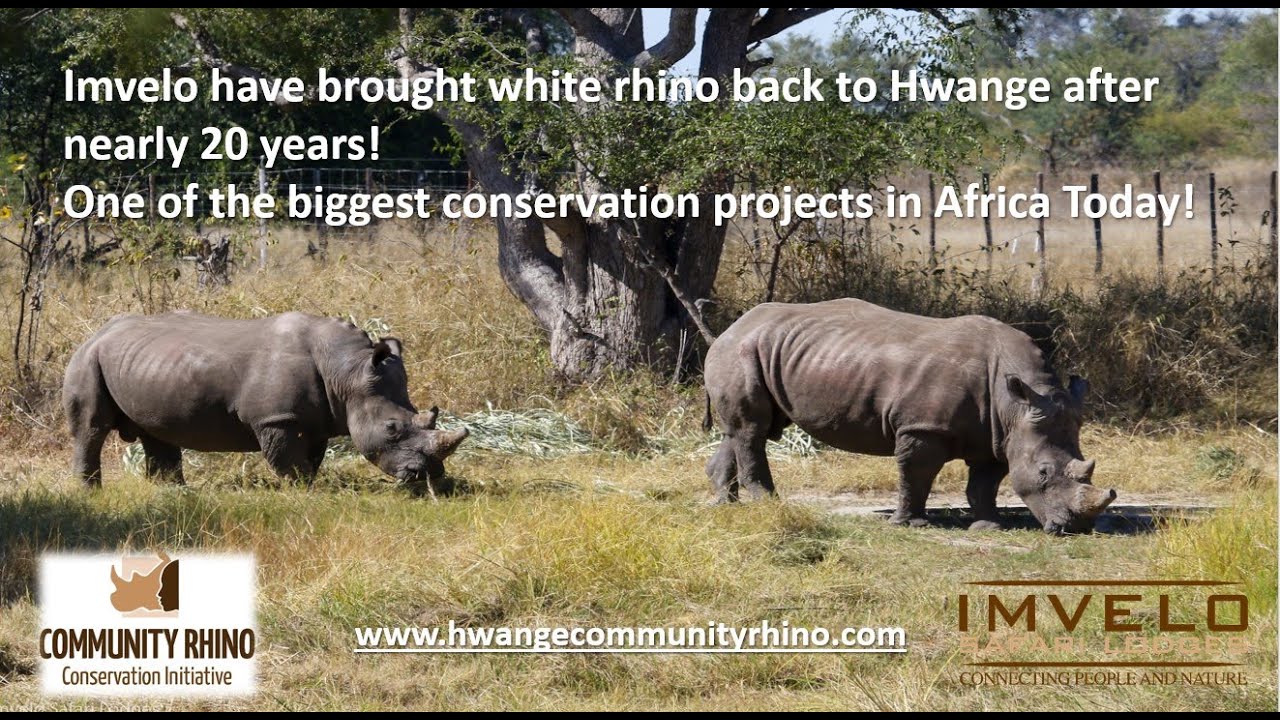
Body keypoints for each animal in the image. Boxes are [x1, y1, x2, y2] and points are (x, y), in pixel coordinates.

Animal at [62, 312, 468, 490]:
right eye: (392, 428)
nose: (429, 476)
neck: (346, 371)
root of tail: (96, 331)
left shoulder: (317, 418)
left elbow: (312, 457)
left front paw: (310, 485)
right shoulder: (276, 417)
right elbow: (285, 458)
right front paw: (301, 491)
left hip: (143, 364)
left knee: (157, 432)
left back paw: (173, 491)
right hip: (88, 359)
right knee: (91, 428)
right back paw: (91, 492)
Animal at [703, 299, 1115, 534]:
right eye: (1044, 473)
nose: (1077, 528)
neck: (1014, 404)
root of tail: (731, 327)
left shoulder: (999, 435)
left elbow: (985, 482)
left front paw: (988, 528)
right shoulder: (924, 428)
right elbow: (916, 474)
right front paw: (910, 525)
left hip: (762, 349)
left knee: (743, 429)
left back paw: (726, 504)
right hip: (741, 350)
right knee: (753, 430)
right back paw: (768, 503)